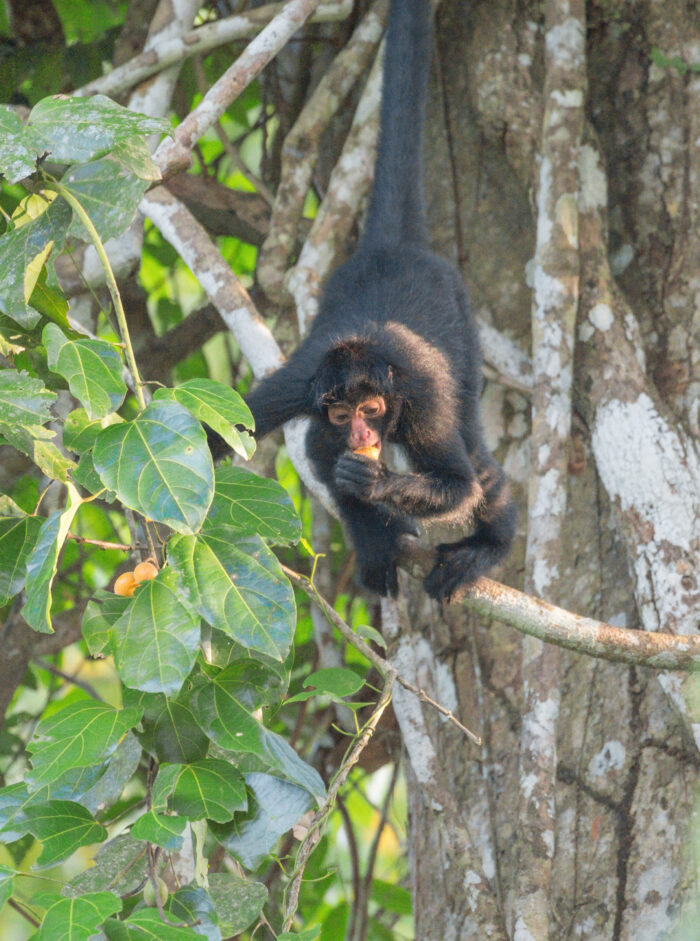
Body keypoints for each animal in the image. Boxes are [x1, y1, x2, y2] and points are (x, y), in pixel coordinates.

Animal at [245, 0, 516, 604]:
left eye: (370, 410)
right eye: (345, 413)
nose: (362, 435)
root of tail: (391, 248)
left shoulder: (422, 394)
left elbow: (461, 482)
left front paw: (380, 483)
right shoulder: (297, 383)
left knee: (477, 455)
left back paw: (488, 545)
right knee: (319, 448)